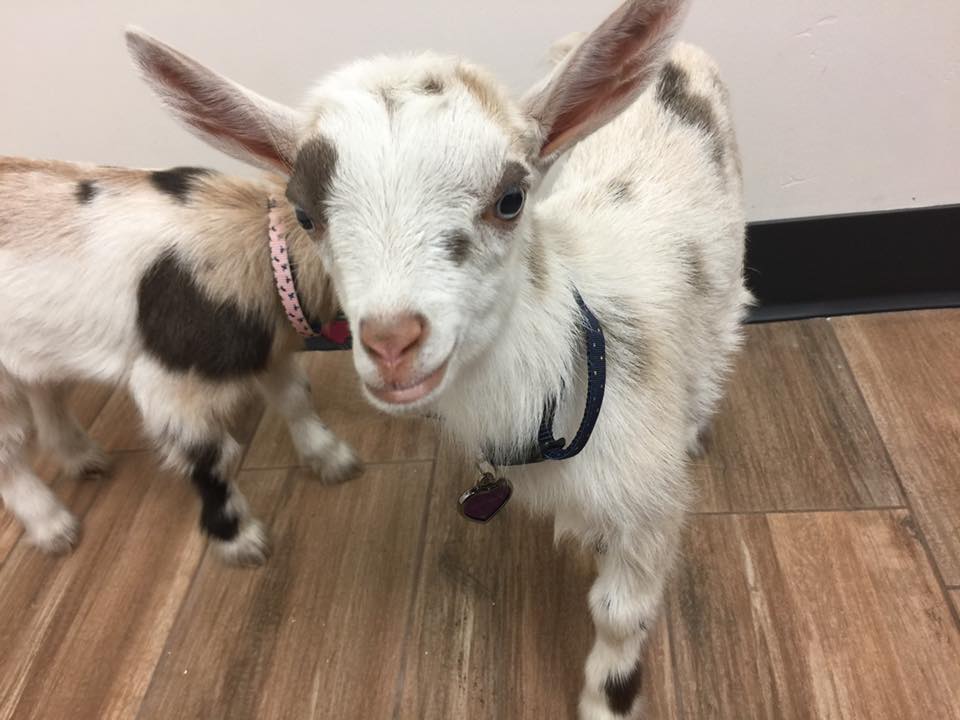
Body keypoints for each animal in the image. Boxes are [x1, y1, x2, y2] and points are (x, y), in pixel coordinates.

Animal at [0, 155, 360, 564]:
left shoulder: (268, 346)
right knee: (8, 450)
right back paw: (53, 526)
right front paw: (239, 539)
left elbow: (296, 397)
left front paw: (332, 459)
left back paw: (81, 458)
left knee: (46, 391)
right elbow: (210, 457)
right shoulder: (172, 383)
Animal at [125, 0, 752, 716]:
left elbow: (620, 614)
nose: (391, 342)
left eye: (511, 198)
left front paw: (605, 702)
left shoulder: (647, 507)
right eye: (305, 215)